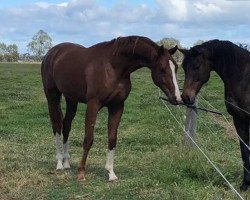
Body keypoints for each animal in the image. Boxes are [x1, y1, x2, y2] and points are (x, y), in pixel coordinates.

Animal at [41, 35, 182, 181]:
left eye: (176, 67)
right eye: (162, 68)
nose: (177, 98)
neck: (112, 67)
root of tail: (52, 53)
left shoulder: (117, 106)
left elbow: (112, 139)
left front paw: (111, 173)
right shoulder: (93, 104)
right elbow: (88, 139)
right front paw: (81, 173)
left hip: (71, 99)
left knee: (66, 125)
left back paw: (66, 162)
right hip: (52, 97)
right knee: (56, 126)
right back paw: (59, 163)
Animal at [179, 39, 249, 191]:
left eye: (197, 66)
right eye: (183, 67)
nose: (186, 97)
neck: (244, 80)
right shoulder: (239, 120)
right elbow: (245, 151)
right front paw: (245, 185)